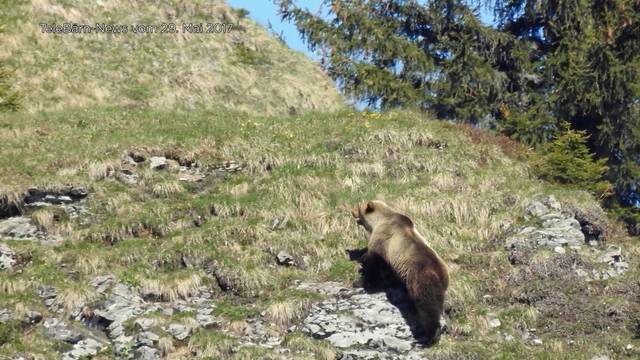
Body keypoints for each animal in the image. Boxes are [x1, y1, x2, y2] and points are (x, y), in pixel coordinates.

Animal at [352, 200, 448, 344]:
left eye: (359, 207)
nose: (351, 211)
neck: (379, 221)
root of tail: (440, 274)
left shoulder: (383, 242)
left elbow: (373, 264)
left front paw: (360, 280)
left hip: (420, 280)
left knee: (427, 307)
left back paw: (428, 336)